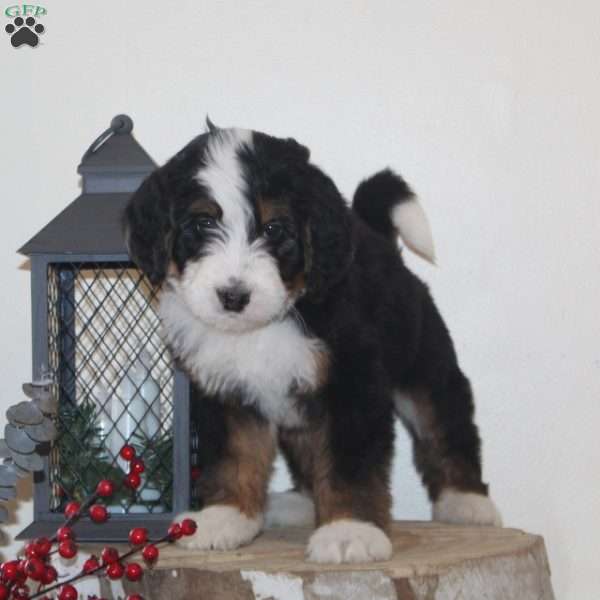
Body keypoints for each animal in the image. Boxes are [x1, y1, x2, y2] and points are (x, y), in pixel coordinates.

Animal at [123, 124, 502, 564]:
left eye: (273, 229)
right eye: (202, 224)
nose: (233, 296)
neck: (266, 323)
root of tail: (383, 243)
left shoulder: (352, 382)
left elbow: (348, 462)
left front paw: (349, 530)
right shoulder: (225, 390)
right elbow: (234, 455)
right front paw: (225, 517)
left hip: (425, 365)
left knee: (444, 425)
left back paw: (468, 502)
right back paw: (297, 505)